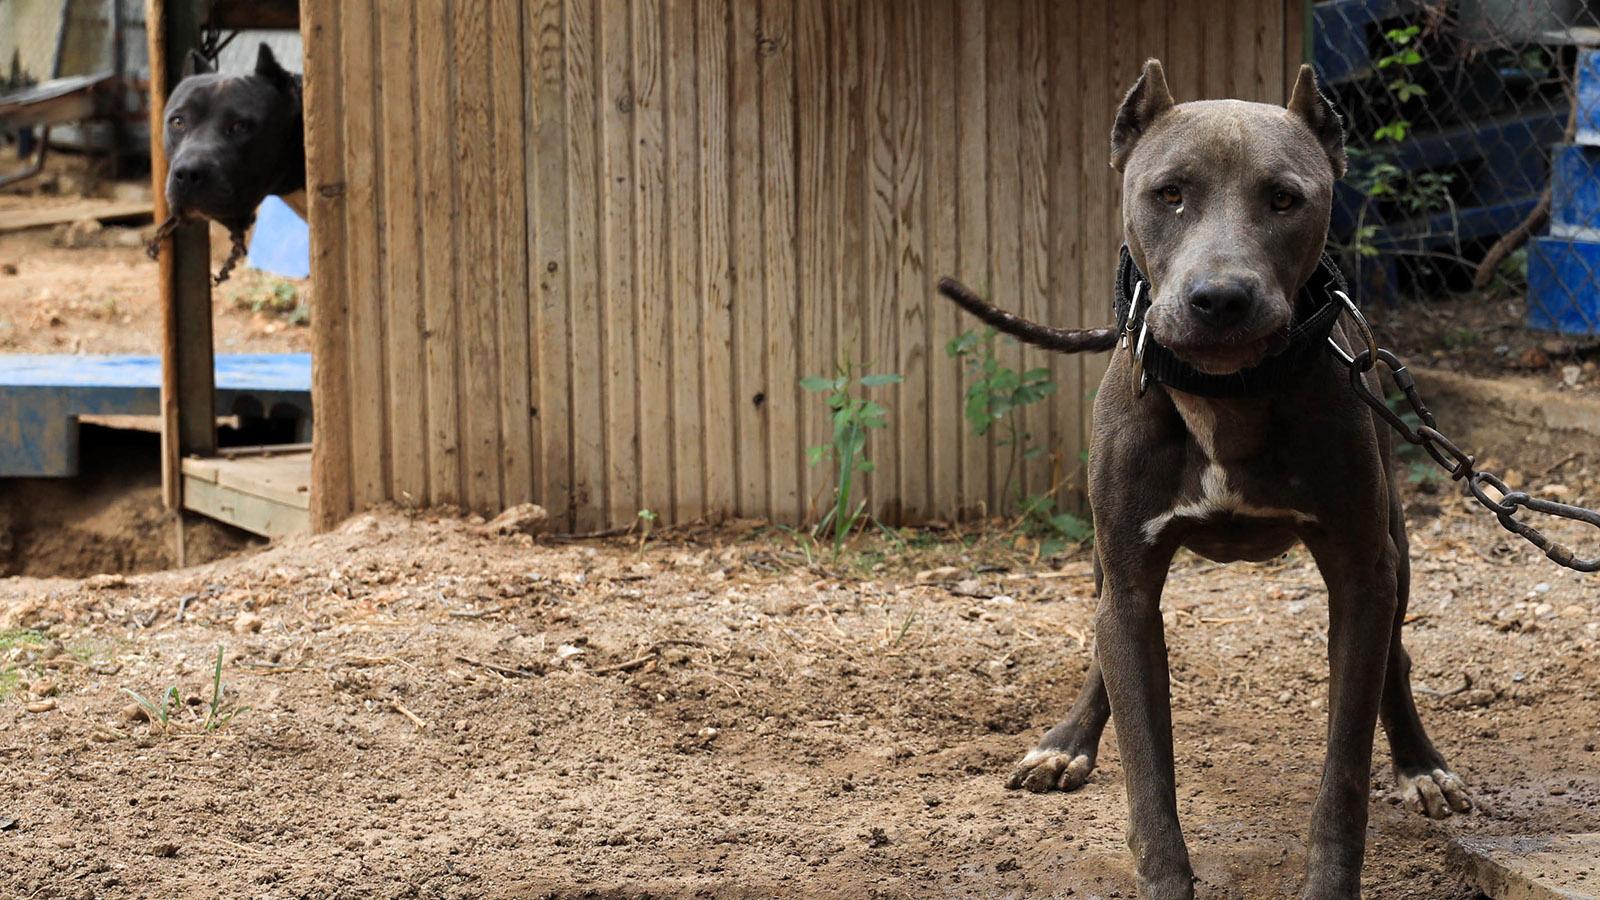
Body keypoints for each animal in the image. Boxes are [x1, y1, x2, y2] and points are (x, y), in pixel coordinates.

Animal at [934, 59, 1472, 890]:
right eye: (1169, 194)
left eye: (1284, 198)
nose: (1219, 298)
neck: (1226, 393)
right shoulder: (1127, 577)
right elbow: (1147, 768)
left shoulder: (1362, 571)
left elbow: (1345, 768)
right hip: (1105, 559)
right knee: (1104, 644)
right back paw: (1067, 741)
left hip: (1396, 546)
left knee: (1396, 654)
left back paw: (1419, 763)